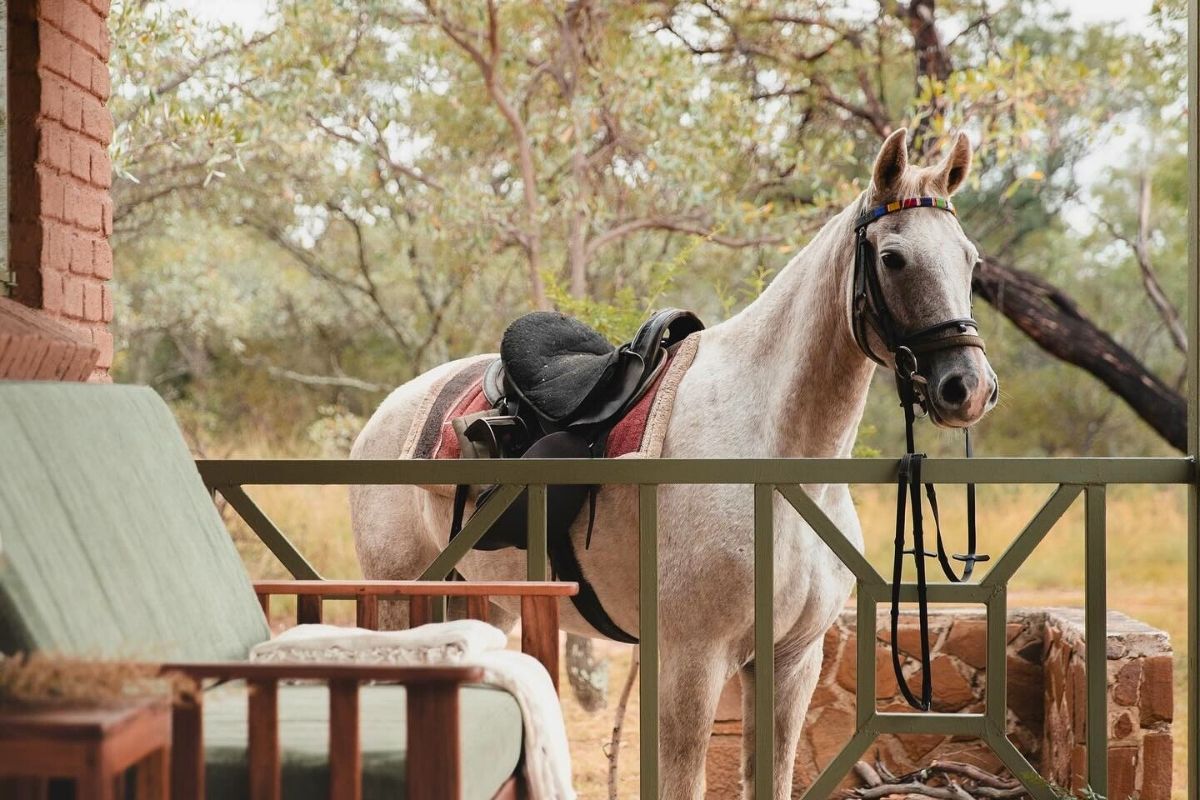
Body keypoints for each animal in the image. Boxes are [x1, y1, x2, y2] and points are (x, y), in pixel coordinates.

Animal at [349, 128, 998, 800]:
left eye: (970, 259)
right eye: (893, 258)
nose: (969, 388)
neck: (777, 463)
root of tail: (391, 409)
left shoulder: (793, 661)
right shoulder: (693, 661)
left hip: (483, 604)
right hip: (398, 597)